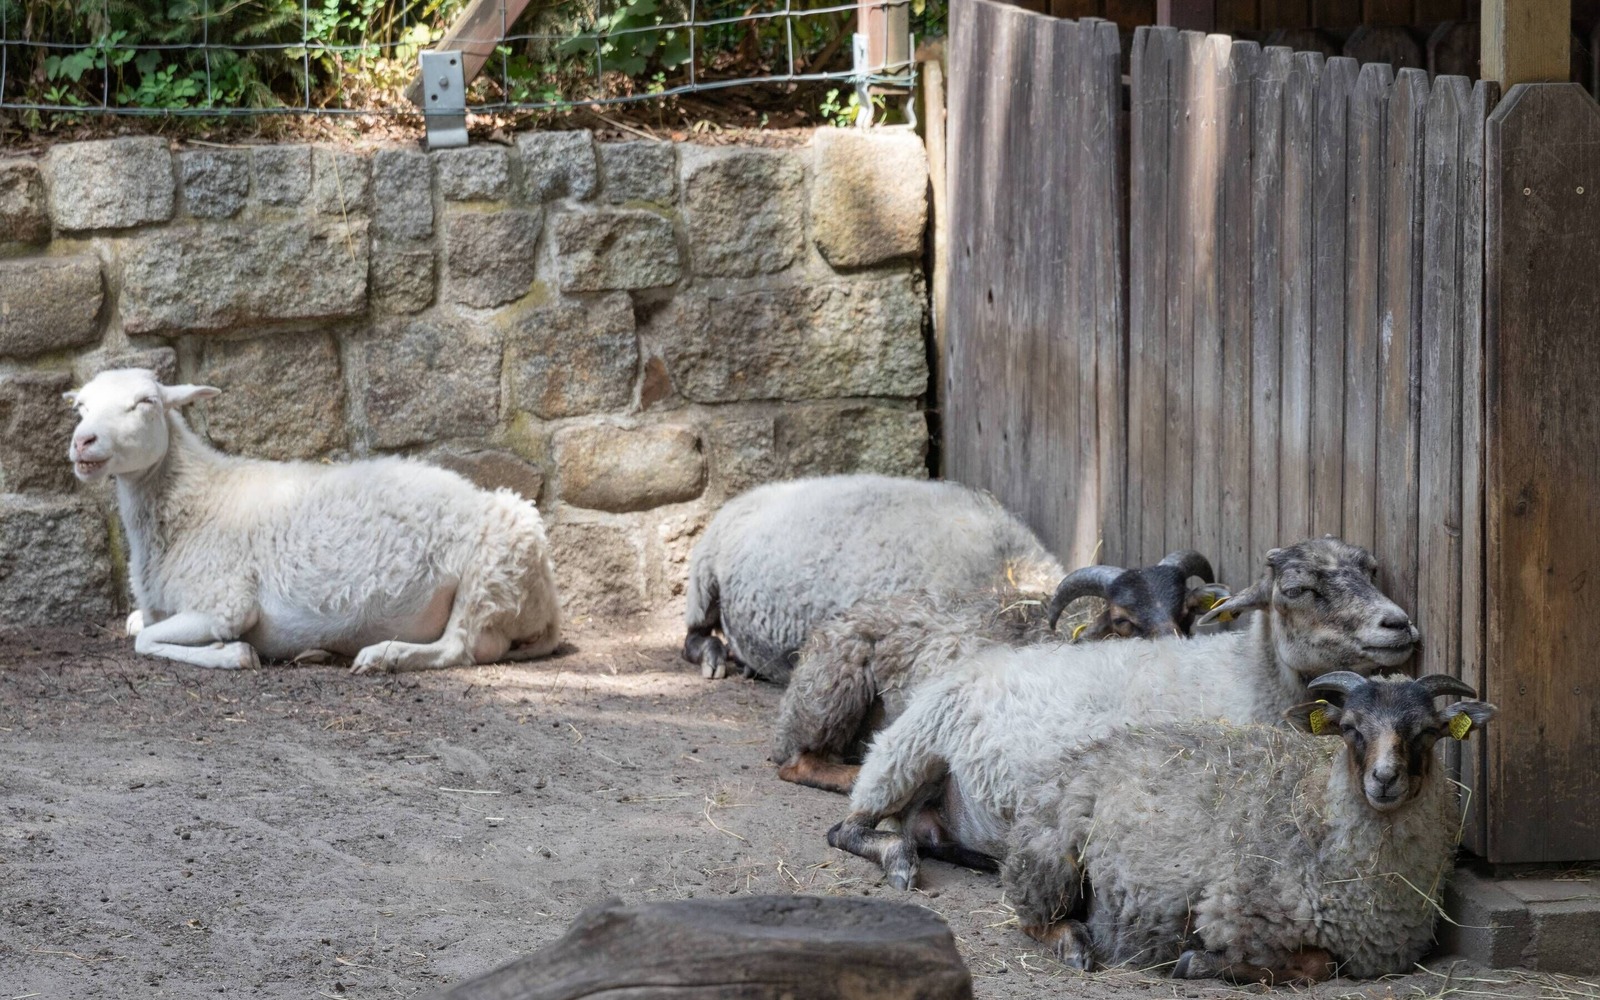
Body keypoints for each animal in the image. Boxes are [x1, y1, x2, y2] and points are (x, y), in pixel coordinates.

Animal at [65, 368, 561, 673]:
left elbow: (145, 642)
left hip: (490, 572)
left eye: (146, 402)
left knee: (460, 647)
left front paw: (232, 653)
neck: (199, 497)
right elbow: (136, 626)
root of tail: (548, 604)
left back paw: (382, 656)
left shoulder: (225, 603)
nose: (83, 441)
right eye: (81, 407)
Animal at [826, 536, 1420, 889]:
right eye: (1297, 589)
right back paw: (900, 861)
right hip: (902, 757)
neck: (1245, 677)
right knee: (847, 829)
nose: (1399, 624)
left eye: (1370, 570)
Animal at [1000, 672, 1496, 983]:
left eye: (1428, 731)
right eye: (1350, 728)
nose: (1385, 778)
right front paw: (1195, 963)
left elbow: (1325, 964)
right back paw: (1077, 947)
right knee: (1033, 920)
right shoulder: (1236, 918)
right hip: (1049, 859)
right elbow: (1317, 966)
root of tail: (1086, 748)